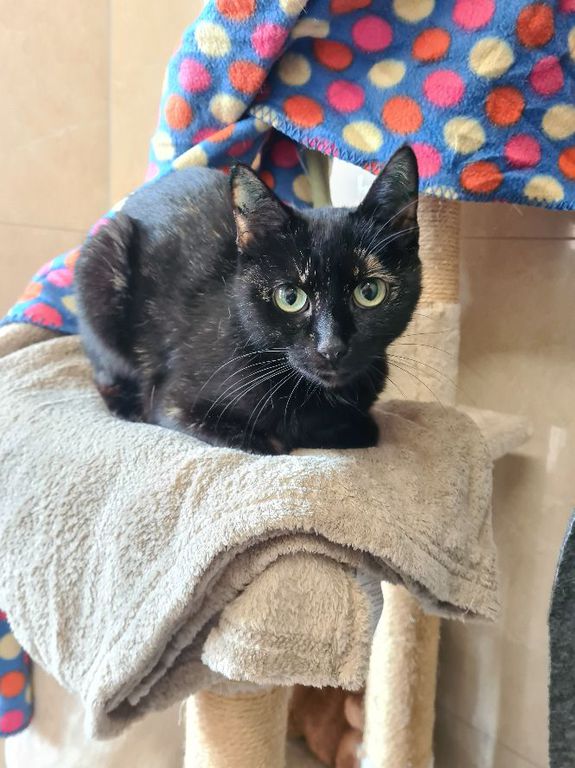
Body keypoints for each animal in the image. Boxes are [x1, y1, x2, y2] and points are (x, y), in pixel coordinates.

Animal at [76, 146, 421, 455]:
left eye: (369, 292)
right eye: (290, 297)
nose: (331, 348)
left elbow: (364, 429)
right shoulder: (173, 403)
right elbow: (273, 444)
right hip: (104, 259)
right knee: (103, 371)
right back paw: (125, 404)